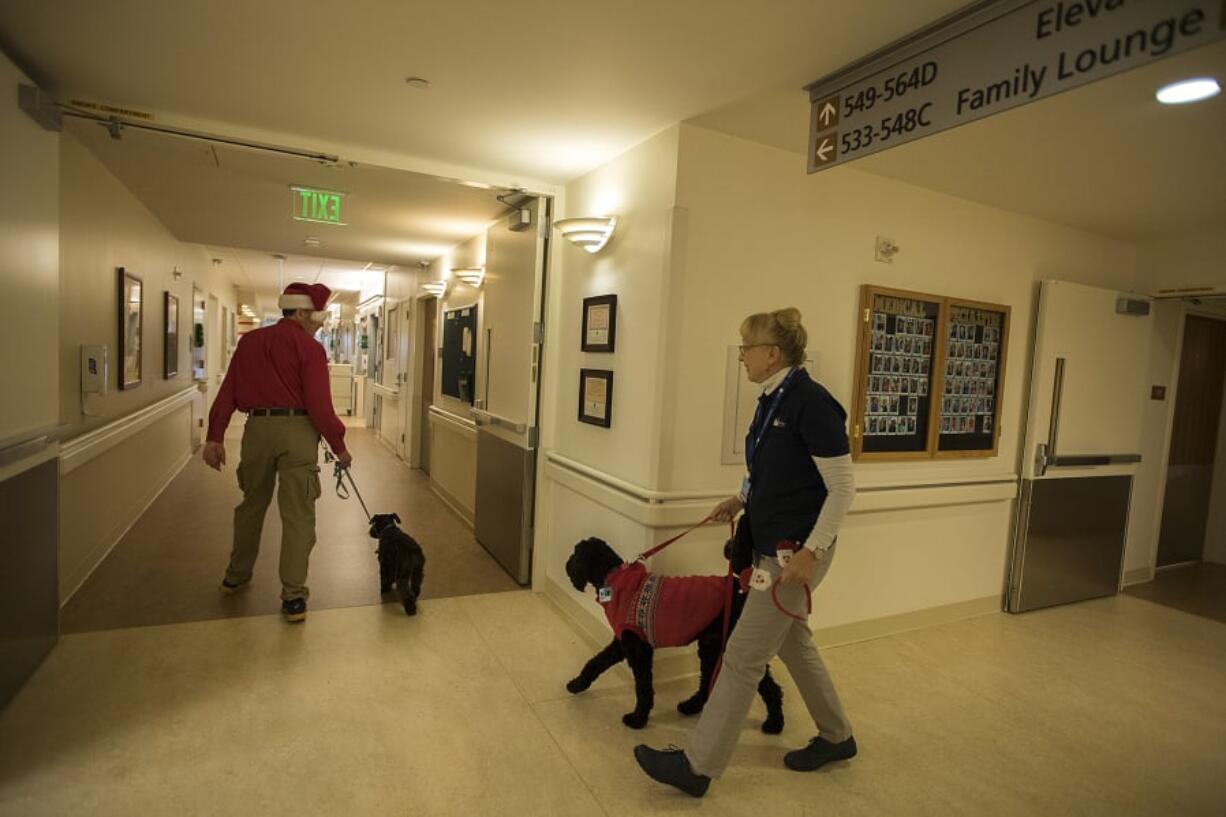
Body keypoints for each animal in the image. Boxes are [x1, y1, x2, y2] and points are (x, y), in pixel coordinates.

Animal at [566, 534, 784, 731]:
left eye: (575, 553)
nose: (566, 565)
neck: (613, 578)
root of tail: (743, 589)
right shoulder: (622, 643)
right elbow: (595, 663)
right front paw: (578, 684)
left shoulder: (639, 650)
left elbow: (643, 687)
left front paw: (638, 719)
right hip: (711, 646)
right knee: (707, 681)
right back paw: (691, 706)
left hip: (733, 648)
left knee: (771, 688)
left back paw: (775, 723)